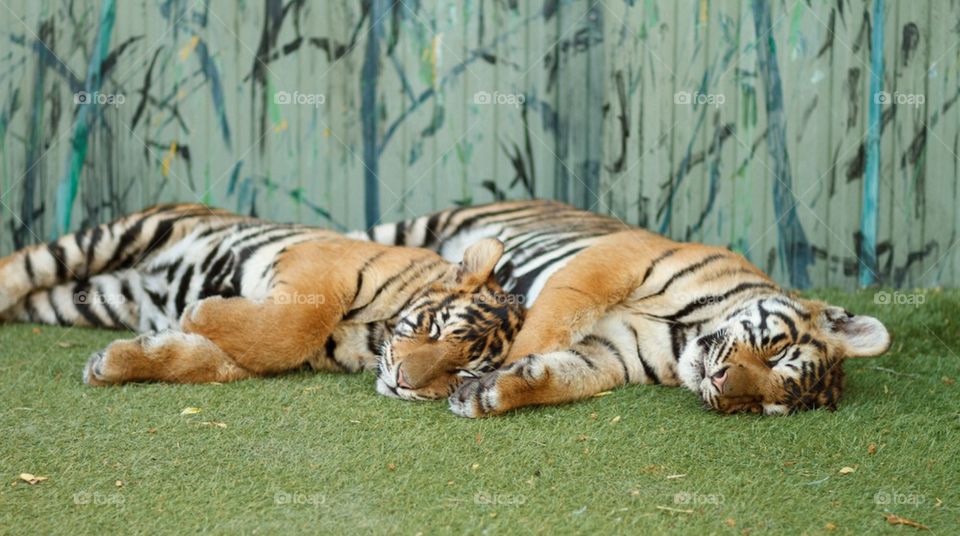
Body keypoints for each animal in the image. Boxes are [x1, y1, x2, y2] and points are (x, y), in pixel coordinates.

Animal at [0, 204, 523, 399]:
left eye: (464, 373)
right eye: (433, 329)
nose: (403, 384)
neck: (374, 338)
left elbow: (209, 360)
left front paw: (115, 362)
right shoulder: (323, 267)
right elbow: (294, 327)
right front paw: (200, 310)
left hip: (83, 299)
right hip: (122, 234)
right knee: (21, 264)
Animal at [355, 199, 891, 416]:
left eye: (763, 406)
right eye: (777, 353)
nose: (722, 387)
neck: (685, 334)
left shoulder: (609, 355)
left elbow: (560, 377)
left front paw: (488, 392)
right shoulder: (616, 261)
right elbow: (549, 321)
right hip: (415, 227)